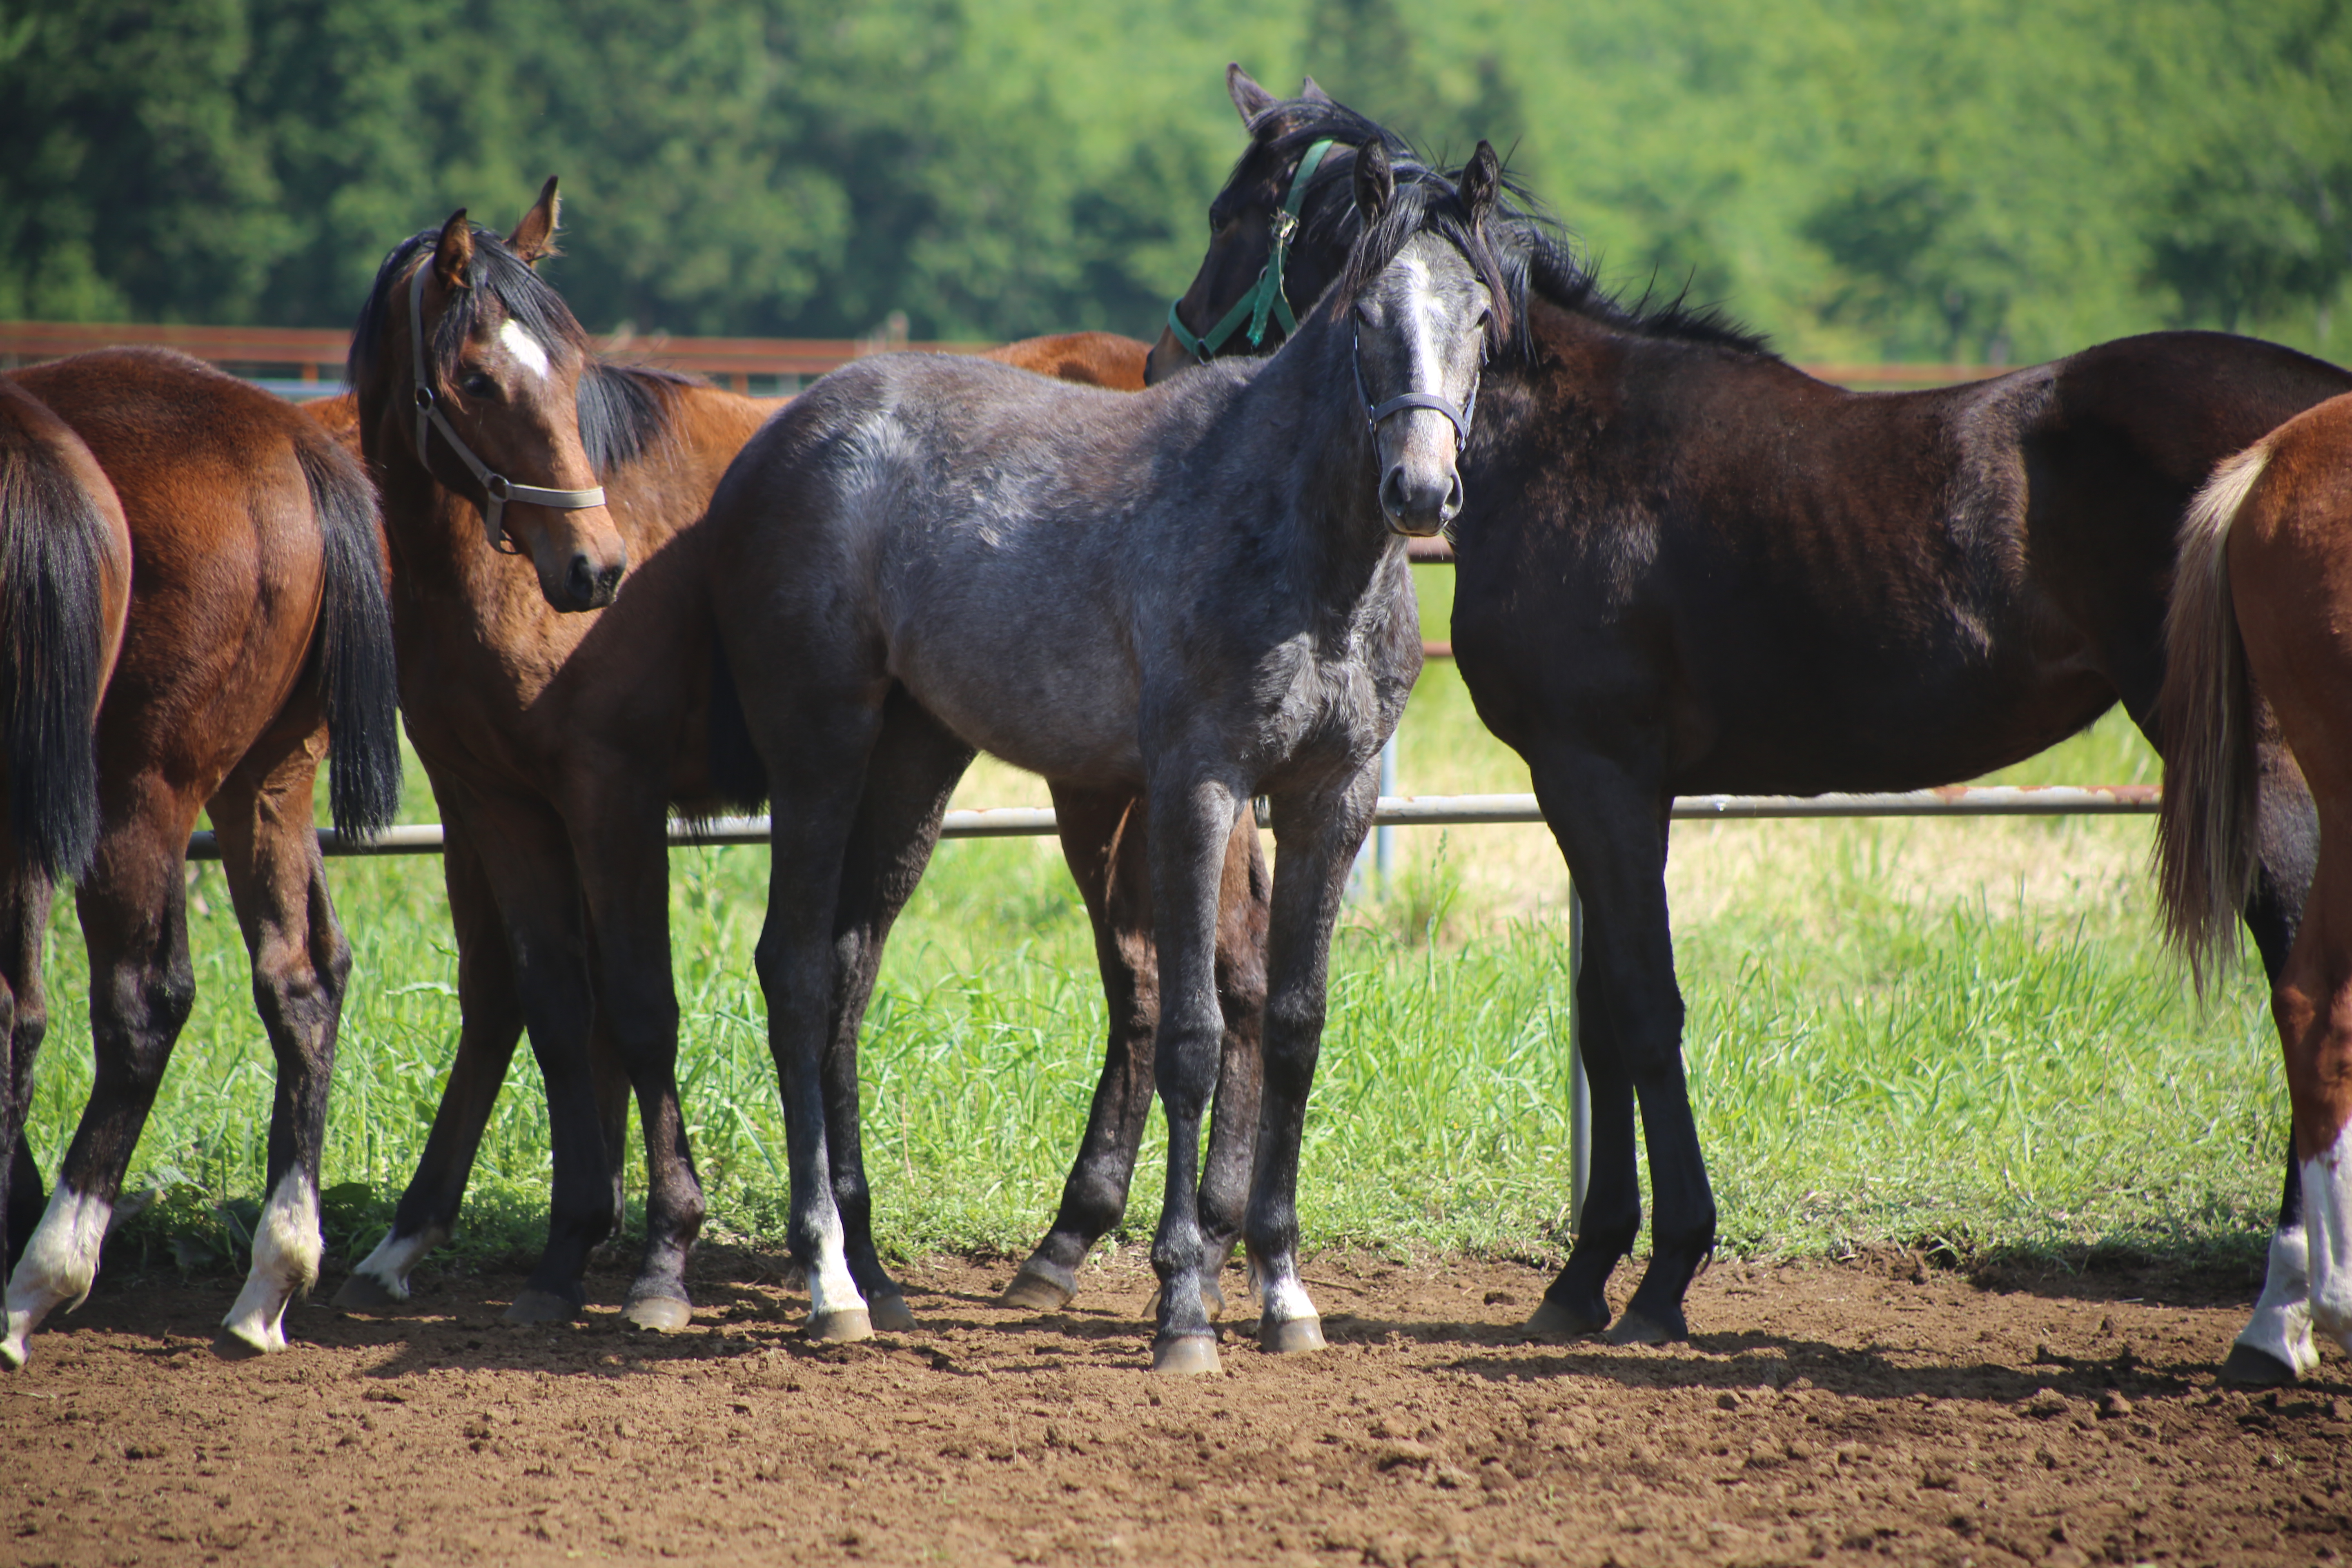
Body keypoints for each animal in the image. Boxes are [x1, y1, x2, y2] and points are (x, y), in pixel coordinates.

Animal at [1, 350, 400, 1363]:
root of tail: (298, 443)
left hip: (140, 788)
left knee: (144, 1002)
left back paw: (43, 1275)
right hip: (266, 780)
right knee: (302, 977)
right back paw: (272, 1276)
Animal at [329, 184, 1270, 1335]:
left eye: (571, 366)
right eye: (473, 377)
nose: (593, 567)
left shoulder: (610, 793)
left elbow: (637, 1008)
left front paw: (661, 1251)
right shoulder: (491, 803)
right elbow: (543, 1002)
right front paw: (548, 1248)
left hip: (1111, 791)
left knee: (1184, 975)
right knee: (1168, 974)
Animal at [701, 150, 1505, 1373]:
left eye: (1481, 317)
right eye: (1364, 315)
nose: (1420, 491)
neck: (1300, 550)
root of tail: (785, 431)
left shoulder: (1334, 800)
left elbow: (1296, 1025)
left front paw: (1282, 1289)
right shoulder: (1196, 791)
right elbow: (1193, 1033)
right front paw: (1182, 1308)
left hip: (913, 764)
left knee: (846, 968)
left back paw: (876, 1271)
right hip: (820, 749)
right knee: (792, 970)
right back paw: (828, 1277)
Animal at [1157, 73, 2352, 1373]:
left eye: (1231, 215)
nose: (1172, 350)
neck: (1560, 446)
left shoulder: (1596, 775)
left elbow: (1641, 1010)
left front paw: (1661, 1274)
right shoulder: (1608, 790)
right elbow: (1600, 1016)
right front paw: (1583, 1275)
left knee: (2303, 982)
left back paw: (2278, 1312)